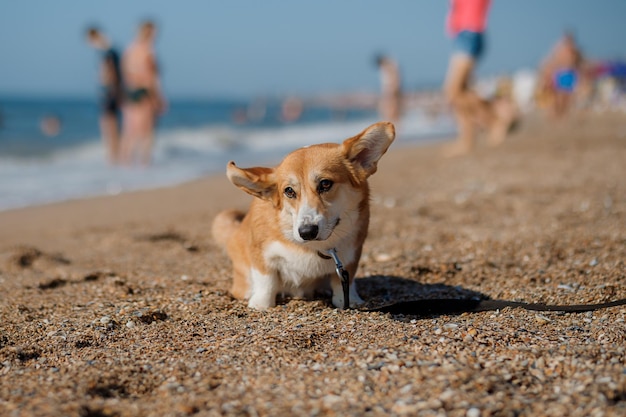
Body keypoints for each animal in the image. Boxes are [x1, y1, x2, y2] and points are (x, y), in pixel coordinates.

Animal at [212, 120, 392, 308]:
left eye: (325, 184)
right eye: (289, 191)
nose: (307, 232)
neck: (314, 247)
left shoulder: (350, 256)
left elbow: (343, 283)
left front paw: (350, 301)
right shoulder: (261, 254)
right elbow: (266, 280)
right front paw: (260, 305)